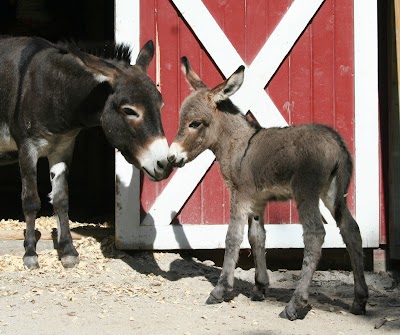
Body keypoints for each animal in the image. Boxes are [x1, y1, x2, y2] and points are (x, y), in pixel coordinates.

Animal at [167, 57, 368, 320]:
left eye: (195, 123)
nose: (171, 158)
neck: (238, 145)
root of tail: (336, 143)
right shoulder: (257, 201)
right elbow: (257, 237)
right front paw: (260, 287)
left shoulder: (240, 195)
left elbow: (233, 237)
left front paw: (221, 289)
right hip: (333, 193)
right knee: (351, 230)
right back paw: (359, 300)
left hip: (306, 191)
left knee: (315, 234)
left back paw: (295, 305)